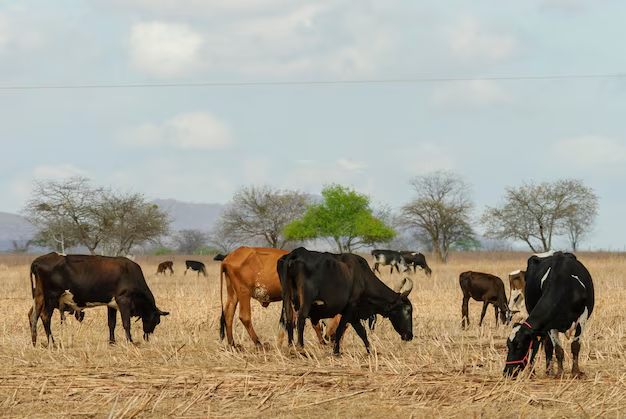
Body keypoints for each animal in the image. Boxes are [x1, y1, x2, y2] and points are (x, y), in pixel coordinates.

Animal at [29, 254, 168, 346]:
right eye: (157, 321)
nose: (147, 336)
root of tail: (38, 260)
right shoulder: (124, 301)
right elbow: (126, 323)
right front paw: (130, 341)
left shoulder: (111, 305)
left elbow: (112, 323)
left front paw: (112, 342)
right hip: (51, 297)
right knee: (45, 317)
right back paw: (52, 343)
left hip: (40, 297)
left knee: (33, 316)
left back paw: (34, 342)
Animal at [280, 248, 412, 356]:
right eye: (408, 310)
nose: (410, 336)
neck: (363, 277)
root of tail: (296, 253)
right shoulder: (350, 308)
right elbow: (340, 330)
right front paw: (336, 351)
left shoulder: (353, 314)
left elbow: (361, 332)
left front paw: (370, 351)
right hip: (306, 301)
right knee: (301, 318)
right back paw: (301, 349)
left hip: (287, 297)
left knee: (289, 320)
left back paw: (290, 347)